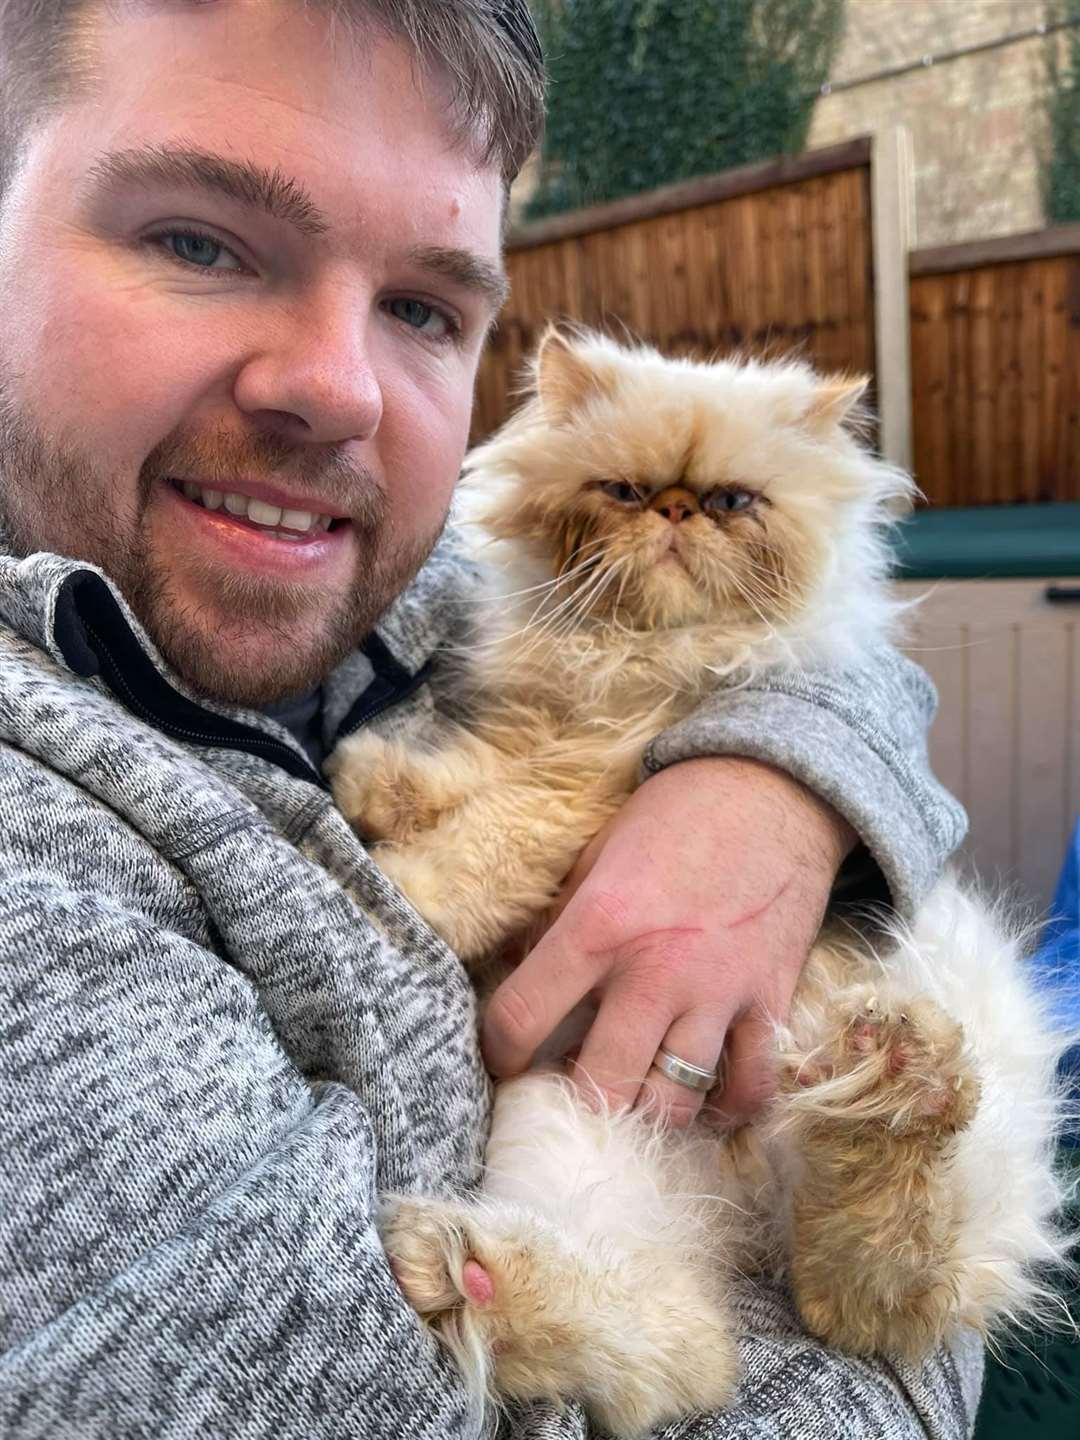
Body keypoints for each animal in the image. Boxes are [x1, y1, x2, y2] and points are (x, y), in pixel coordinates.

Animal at [329, 329, 1077, 1440]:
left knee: (894, 1288)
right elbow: (453, 776)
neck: (632, 656)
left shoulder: (587, 783)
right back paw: (463, 1274)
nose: (676, 513)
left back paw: (892, 1086)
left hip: (967, 1089)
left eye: (732, 501)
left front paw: (403, 883)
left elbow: (484, 843)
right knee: (693, 1352)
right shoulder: (536, 735)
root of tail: (758, 1204)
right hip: (576, 1123)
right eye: (625, 491)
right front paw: (365, 785)